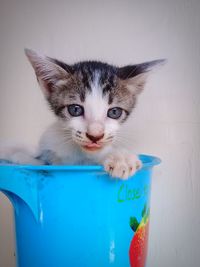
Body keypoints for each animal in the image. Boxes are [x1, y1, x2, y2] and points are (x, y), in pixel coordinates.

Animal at [0, 50, 164, 180]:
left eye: (114, 112)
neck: (78, 156)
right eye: (75, 109)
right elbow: (39, 159)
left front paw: (120, 157)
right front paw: (19, 156)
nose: (95, 136)